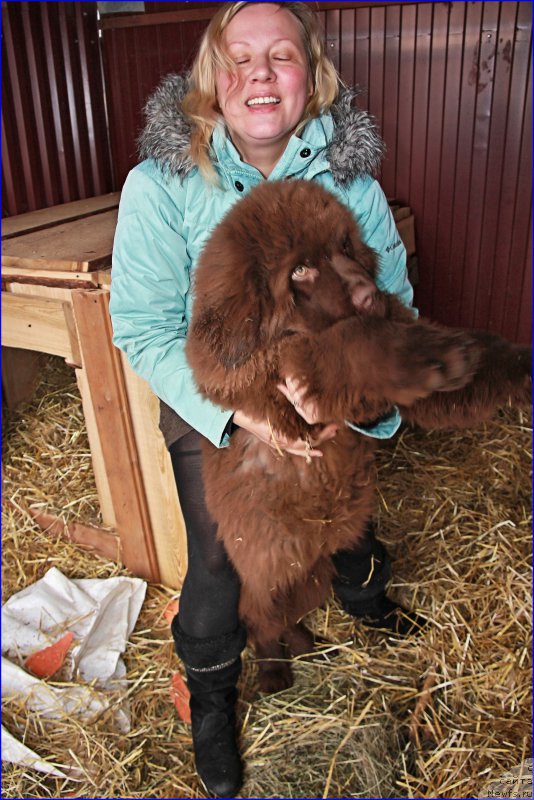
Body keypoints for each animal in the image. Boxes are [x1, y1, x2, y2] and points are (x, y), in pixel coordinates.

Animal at [186, 178, 532, 692]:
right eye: (300, 269)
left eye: (345, 246)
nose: (370, 295)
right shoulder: (291, 387)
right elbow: (354, 344)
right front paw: (430, 357)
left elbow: (474, 356)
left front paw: (514, 362)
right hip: (267, 572)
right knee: (260, 621)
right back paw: (274, 670)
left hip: (310, 576)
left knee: (288, 615)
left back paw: (305, 644)